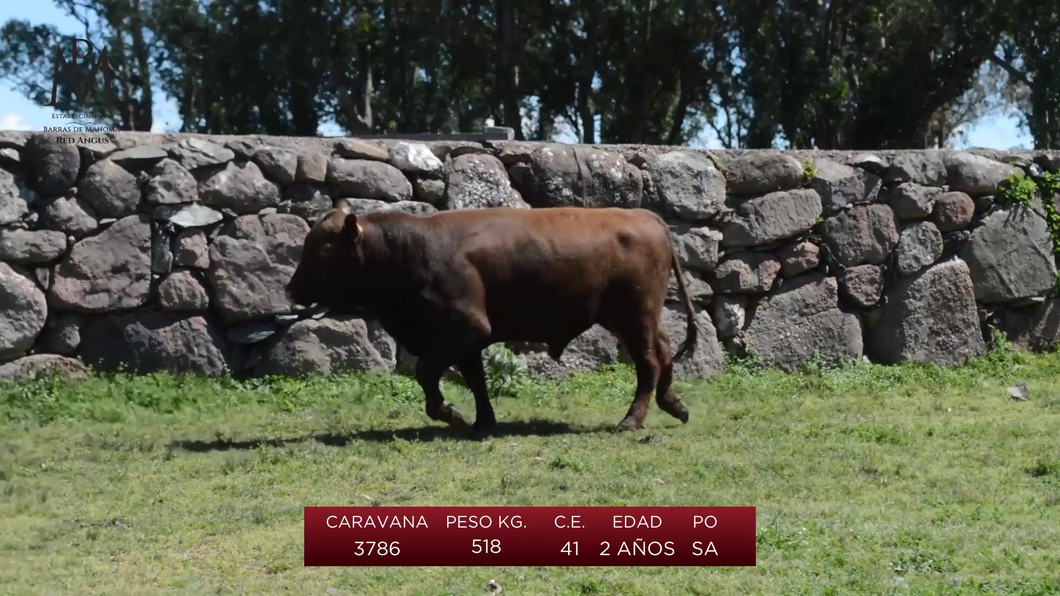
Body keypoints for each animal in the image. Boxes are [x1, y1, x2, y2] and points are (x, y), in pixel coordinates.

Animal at [284, 201, 695, 434]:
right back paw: (674, 405)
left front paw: (451, 414)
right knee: (664, 351)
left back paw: (632, 420)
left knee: (648, 363)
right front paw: (482, 422)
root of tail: (644, 215)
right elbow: (476, 381)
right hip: (631, 318)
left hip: (635, 317)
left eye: (323, 248)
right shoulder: (467, 342)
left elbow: (427, 374)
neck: (409, 249)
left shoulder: (464, 330)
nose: (291, 290)